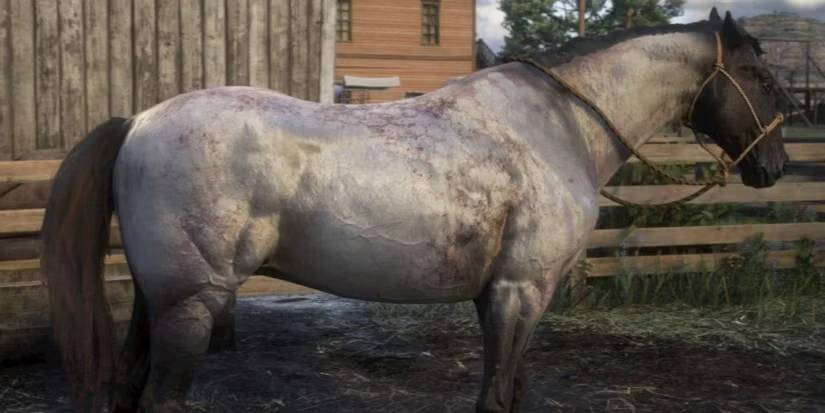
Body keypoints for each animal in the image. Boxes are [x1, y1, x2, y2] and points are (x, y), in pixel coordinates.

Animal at [41, 8, 788, 413]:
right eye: (758, 75)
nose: (773, 165)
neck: (557, 127)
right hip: (191, 304)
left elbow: (513, 389)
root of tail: (139, 121)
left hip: (157, 301)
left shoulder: (505, 295)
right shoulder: (520, 291)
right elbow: (495, 395)